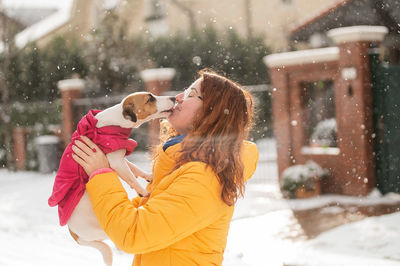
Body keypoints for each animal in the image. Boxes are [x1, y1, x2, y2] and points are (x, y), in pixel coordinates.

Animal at [48, 91, 175, 264]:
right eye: (150, 98)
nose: (174, 98)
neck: (115, 122)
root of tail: (73, 233)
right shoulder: (116, 161)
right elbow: (131, 177)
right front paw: (144, 192)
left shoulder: (119, 157)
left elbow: (133, 168)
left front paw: (148, 176)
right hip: (102, 229)